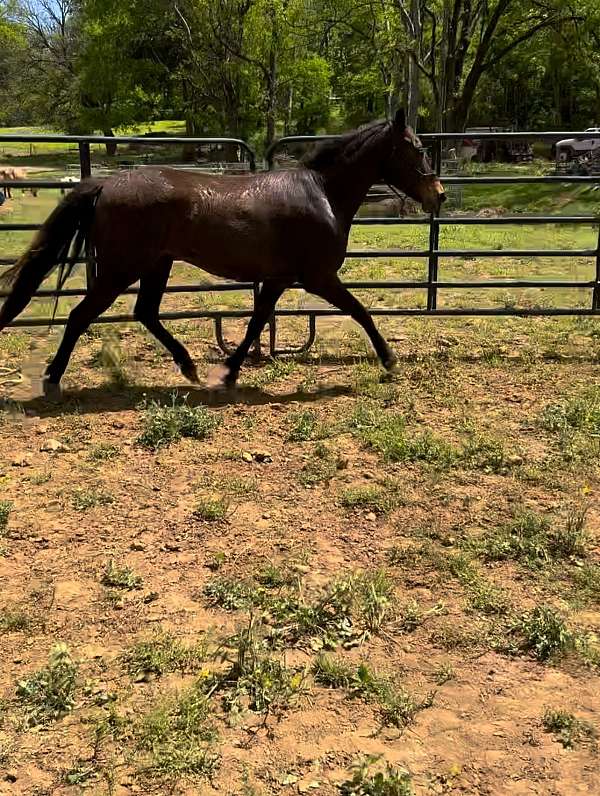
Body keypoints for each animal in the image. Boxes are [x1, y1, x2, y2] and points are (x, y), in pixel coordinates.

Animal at [0, 110, 445, 395]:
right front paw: (390, 360)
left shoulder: (280, 278)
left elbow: (257, 321)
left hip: (156, 264)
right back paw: (53, 379)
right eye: (416, 148)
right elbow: (360, 311)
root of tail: (106, 185)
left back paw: (189, 368)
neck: (322, 193)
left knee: (146, 312)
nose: (437, 195)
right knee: (81, 315)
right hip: (120, 269)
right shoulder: (318, 277)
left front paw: (229, 372)